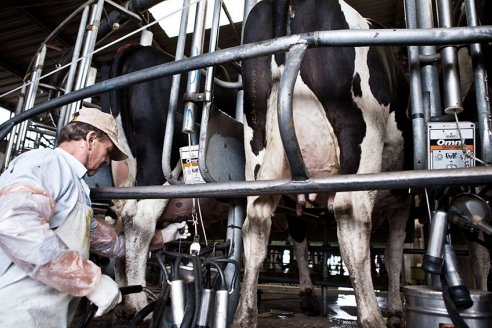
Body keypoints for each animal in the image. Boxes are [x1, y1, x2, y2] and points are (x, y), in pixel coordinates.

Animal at [234, 1, 412, 326]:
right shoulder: (404, 199)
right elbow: (394, 255)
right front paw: (395, 310)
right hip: (359, 133)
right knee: (351, 219)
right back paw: (371, 316)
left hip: (257, 142)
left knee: (257, 223)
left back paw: (245, 315)